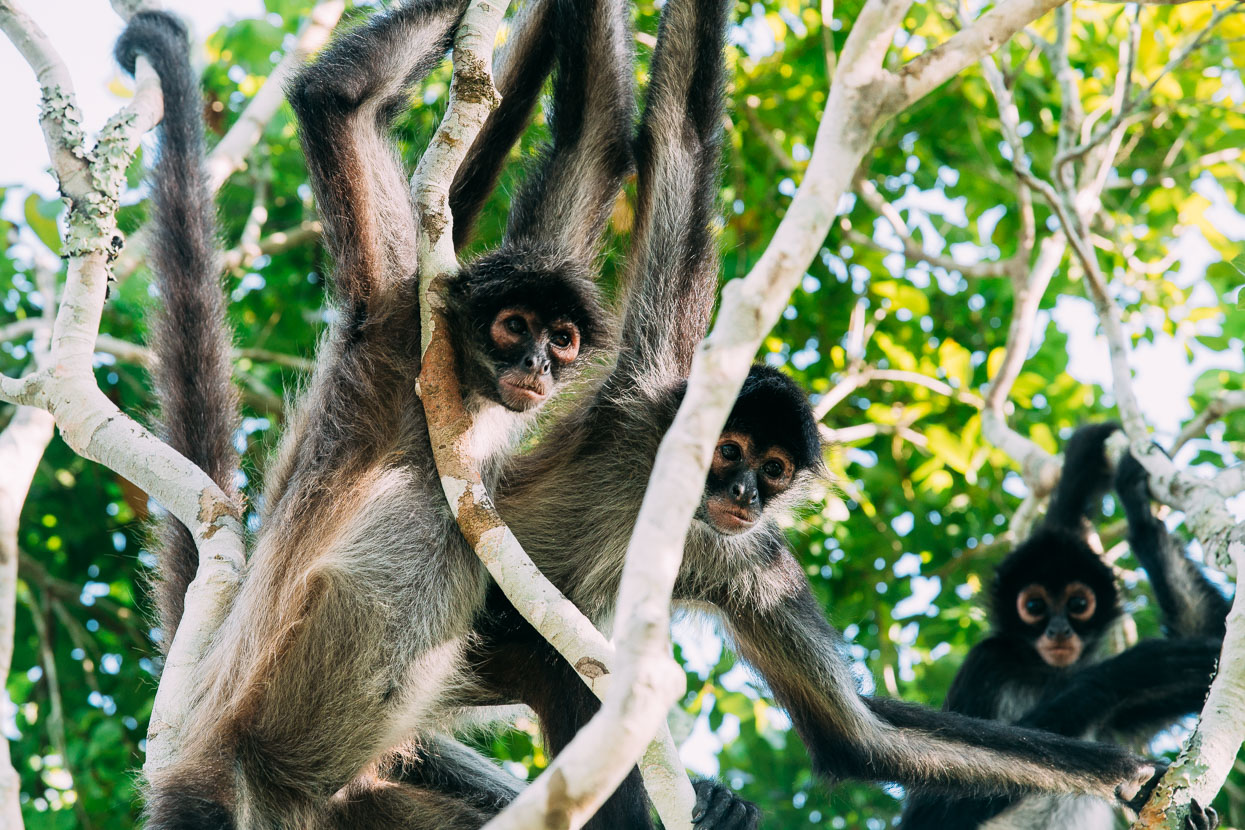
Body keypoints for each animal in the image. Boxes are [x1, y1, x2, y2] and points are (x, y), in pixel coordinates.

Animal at [119, 0, 634, 826]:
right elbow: (337, 101)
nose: (534, 367)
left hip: (354, 801)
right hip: (218, 781)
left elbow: (594, 139)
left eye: (560, 338)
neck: (457, 408)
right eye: (512, 327)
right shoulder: (396, 334)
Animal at [898, 423, 1228, 830]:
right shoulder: (987, 662)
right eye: (1035, 607)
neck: (1046, 676)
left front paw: (1140, 511)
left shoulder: (1121, 713)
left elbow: (1214, 645)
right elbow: (929, 812)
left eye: (1078, 605)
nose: (1058, 631)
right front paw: (1131, 668)